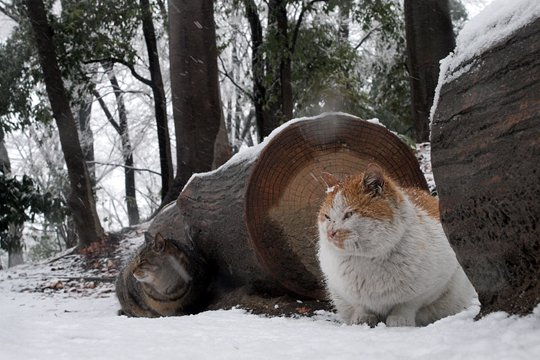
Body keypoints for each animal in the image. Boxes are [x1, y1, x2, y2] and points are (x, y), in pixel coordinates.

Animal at [318, 165, 474, 328]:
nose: (330, 232)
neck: (366, 259)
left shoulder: (430, 288)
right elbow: (361, 306)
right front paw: (362, 319)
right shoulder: (344, 292)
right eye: (327, 217)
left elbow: (406, 305)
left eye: (349, 214)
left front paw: (399, 320)